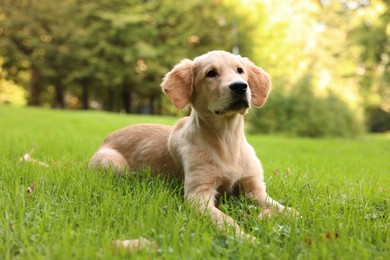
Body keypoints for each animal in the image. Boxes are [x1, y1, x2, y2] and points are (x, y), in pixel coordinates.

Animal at [90, 50, 298, 238]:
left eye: (240, 70)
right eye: (211, 73)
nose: (240, 86)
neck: (227, 140)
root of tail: (106, 138)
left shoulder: (255, 189)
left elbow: (288, 210)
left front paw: (294, 218)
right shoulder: (198, 194)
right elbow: (227, 220)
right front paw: (247, 240)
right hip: (113, 164)